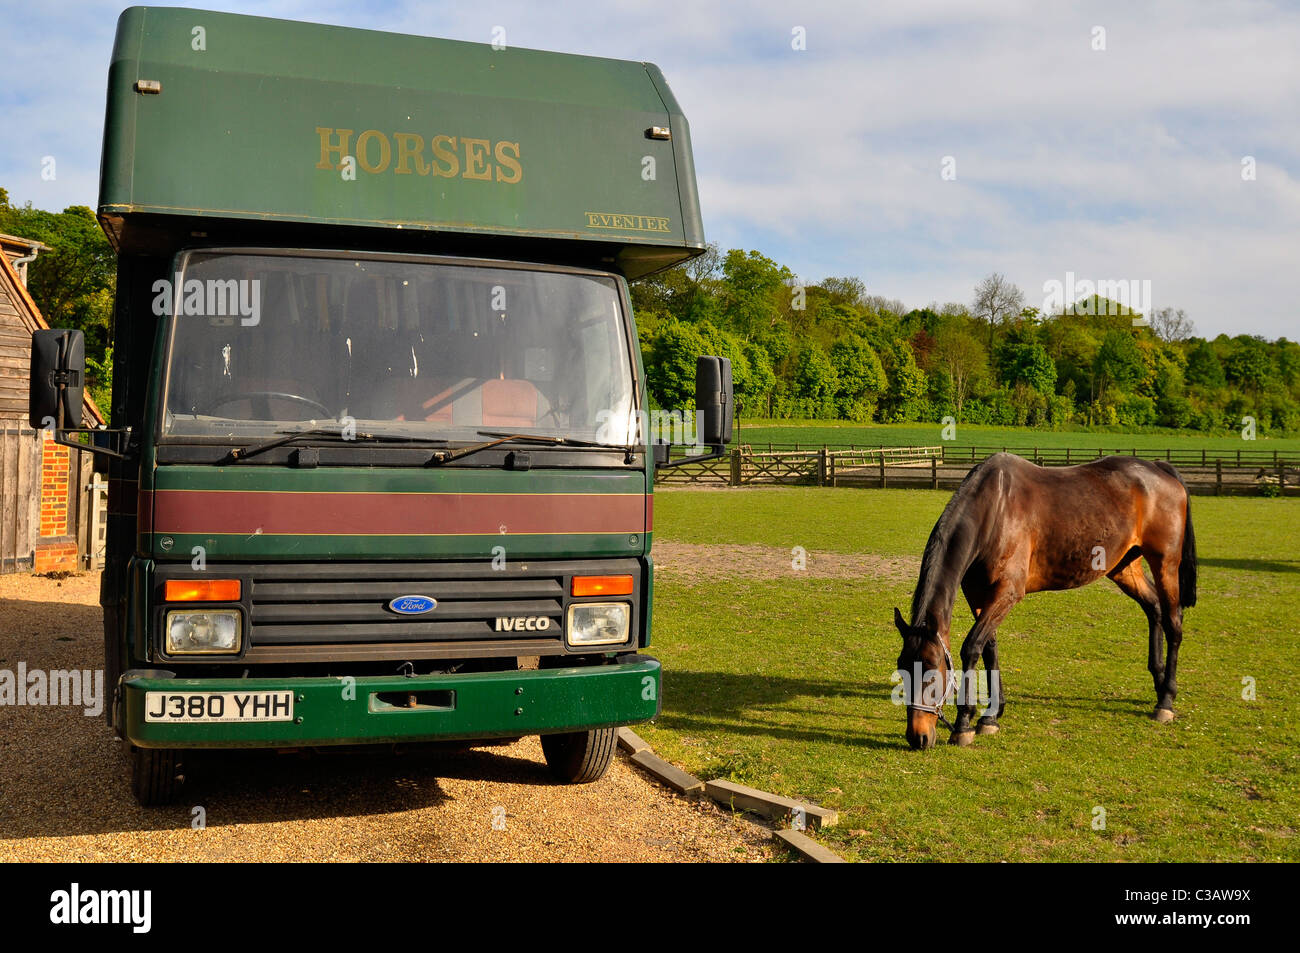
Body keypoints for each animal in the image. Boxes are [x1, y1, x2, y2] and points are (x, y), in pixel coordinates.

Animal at [894, 452, 1196, 750]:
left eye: (932, 671)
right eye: (901, 667)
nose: (917, 737)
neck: (994, 510)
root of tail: (1159, 468)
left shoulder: (1007, 592)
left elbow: (972, 647)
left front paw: (964, 723)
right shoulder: (978, 593)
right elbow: (989, 646)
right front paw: (991, 715)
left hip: (1165, 564)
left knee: (1173, 622)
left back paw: (1166, 700)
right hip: (1124, 567)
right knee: (1153, 608)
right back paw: (1159, 682)